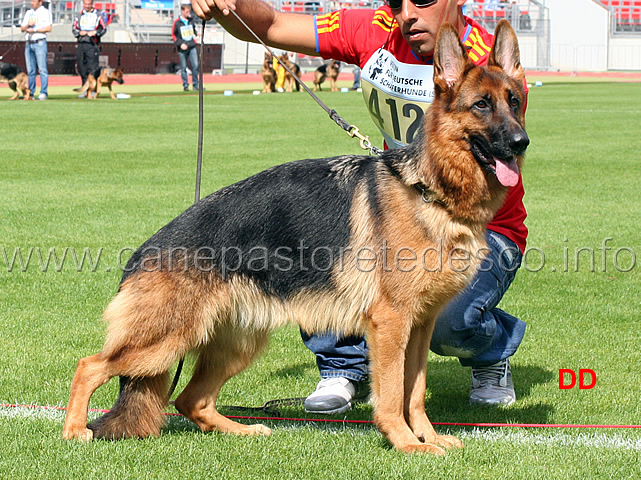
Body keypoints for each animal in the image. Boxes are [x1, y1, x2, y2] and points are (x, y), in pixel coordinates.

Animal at [62, 19, 528, 454]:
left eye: (515, 102)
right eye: (482, 105)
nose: (521, 142)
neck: (429, 189)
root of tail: (143, 252)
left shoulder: (420, 325)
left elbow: (414, 392)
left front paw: (428, 437)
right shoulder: (392, 324)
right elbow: (393, 394)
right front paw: (406, 442)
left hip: (237, 342)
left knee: (190, 400)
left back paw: (243, 429)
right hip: (165, 339)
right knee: (88, 366)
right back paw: (74, 431)